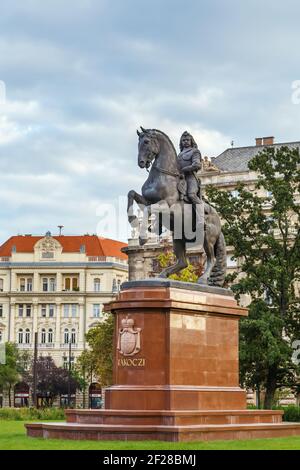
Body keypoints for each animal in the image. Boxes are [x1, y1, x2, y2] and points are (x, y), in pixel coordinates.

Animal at [127, 127, 227, 286]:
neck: (164, 176)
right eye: (138, 143)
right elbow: (131, 194)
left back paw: (202, 280)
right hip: (178, 239)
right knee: (183, 262)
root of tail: (219, 222)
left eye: (146, 141)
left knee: (211, 259)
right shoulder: (147, 200)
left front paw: (143, 237)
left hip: (208, 238)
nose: (141, 162)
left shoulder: (168, 207)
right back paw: (162, 274)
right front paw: (133, 219)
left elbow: (149, 209)